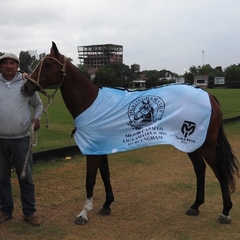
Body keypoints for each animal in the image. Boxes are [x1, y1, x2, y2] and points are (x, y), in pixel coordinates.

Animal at [21, 41, 239, 225]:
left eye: (48, 64)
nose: (26, 86)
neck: (89, 102)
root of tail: (208, 95)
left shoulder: (92, 150)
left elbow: (90, 179)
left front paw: (83, 213)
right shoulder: (101, 147)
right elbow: (105, 175)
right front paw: (107, 204)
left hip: (206, 145)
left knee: (219, 172)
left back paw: (225, 212)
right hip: (190, 143)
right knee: (200, 169)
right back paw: (195, 206)